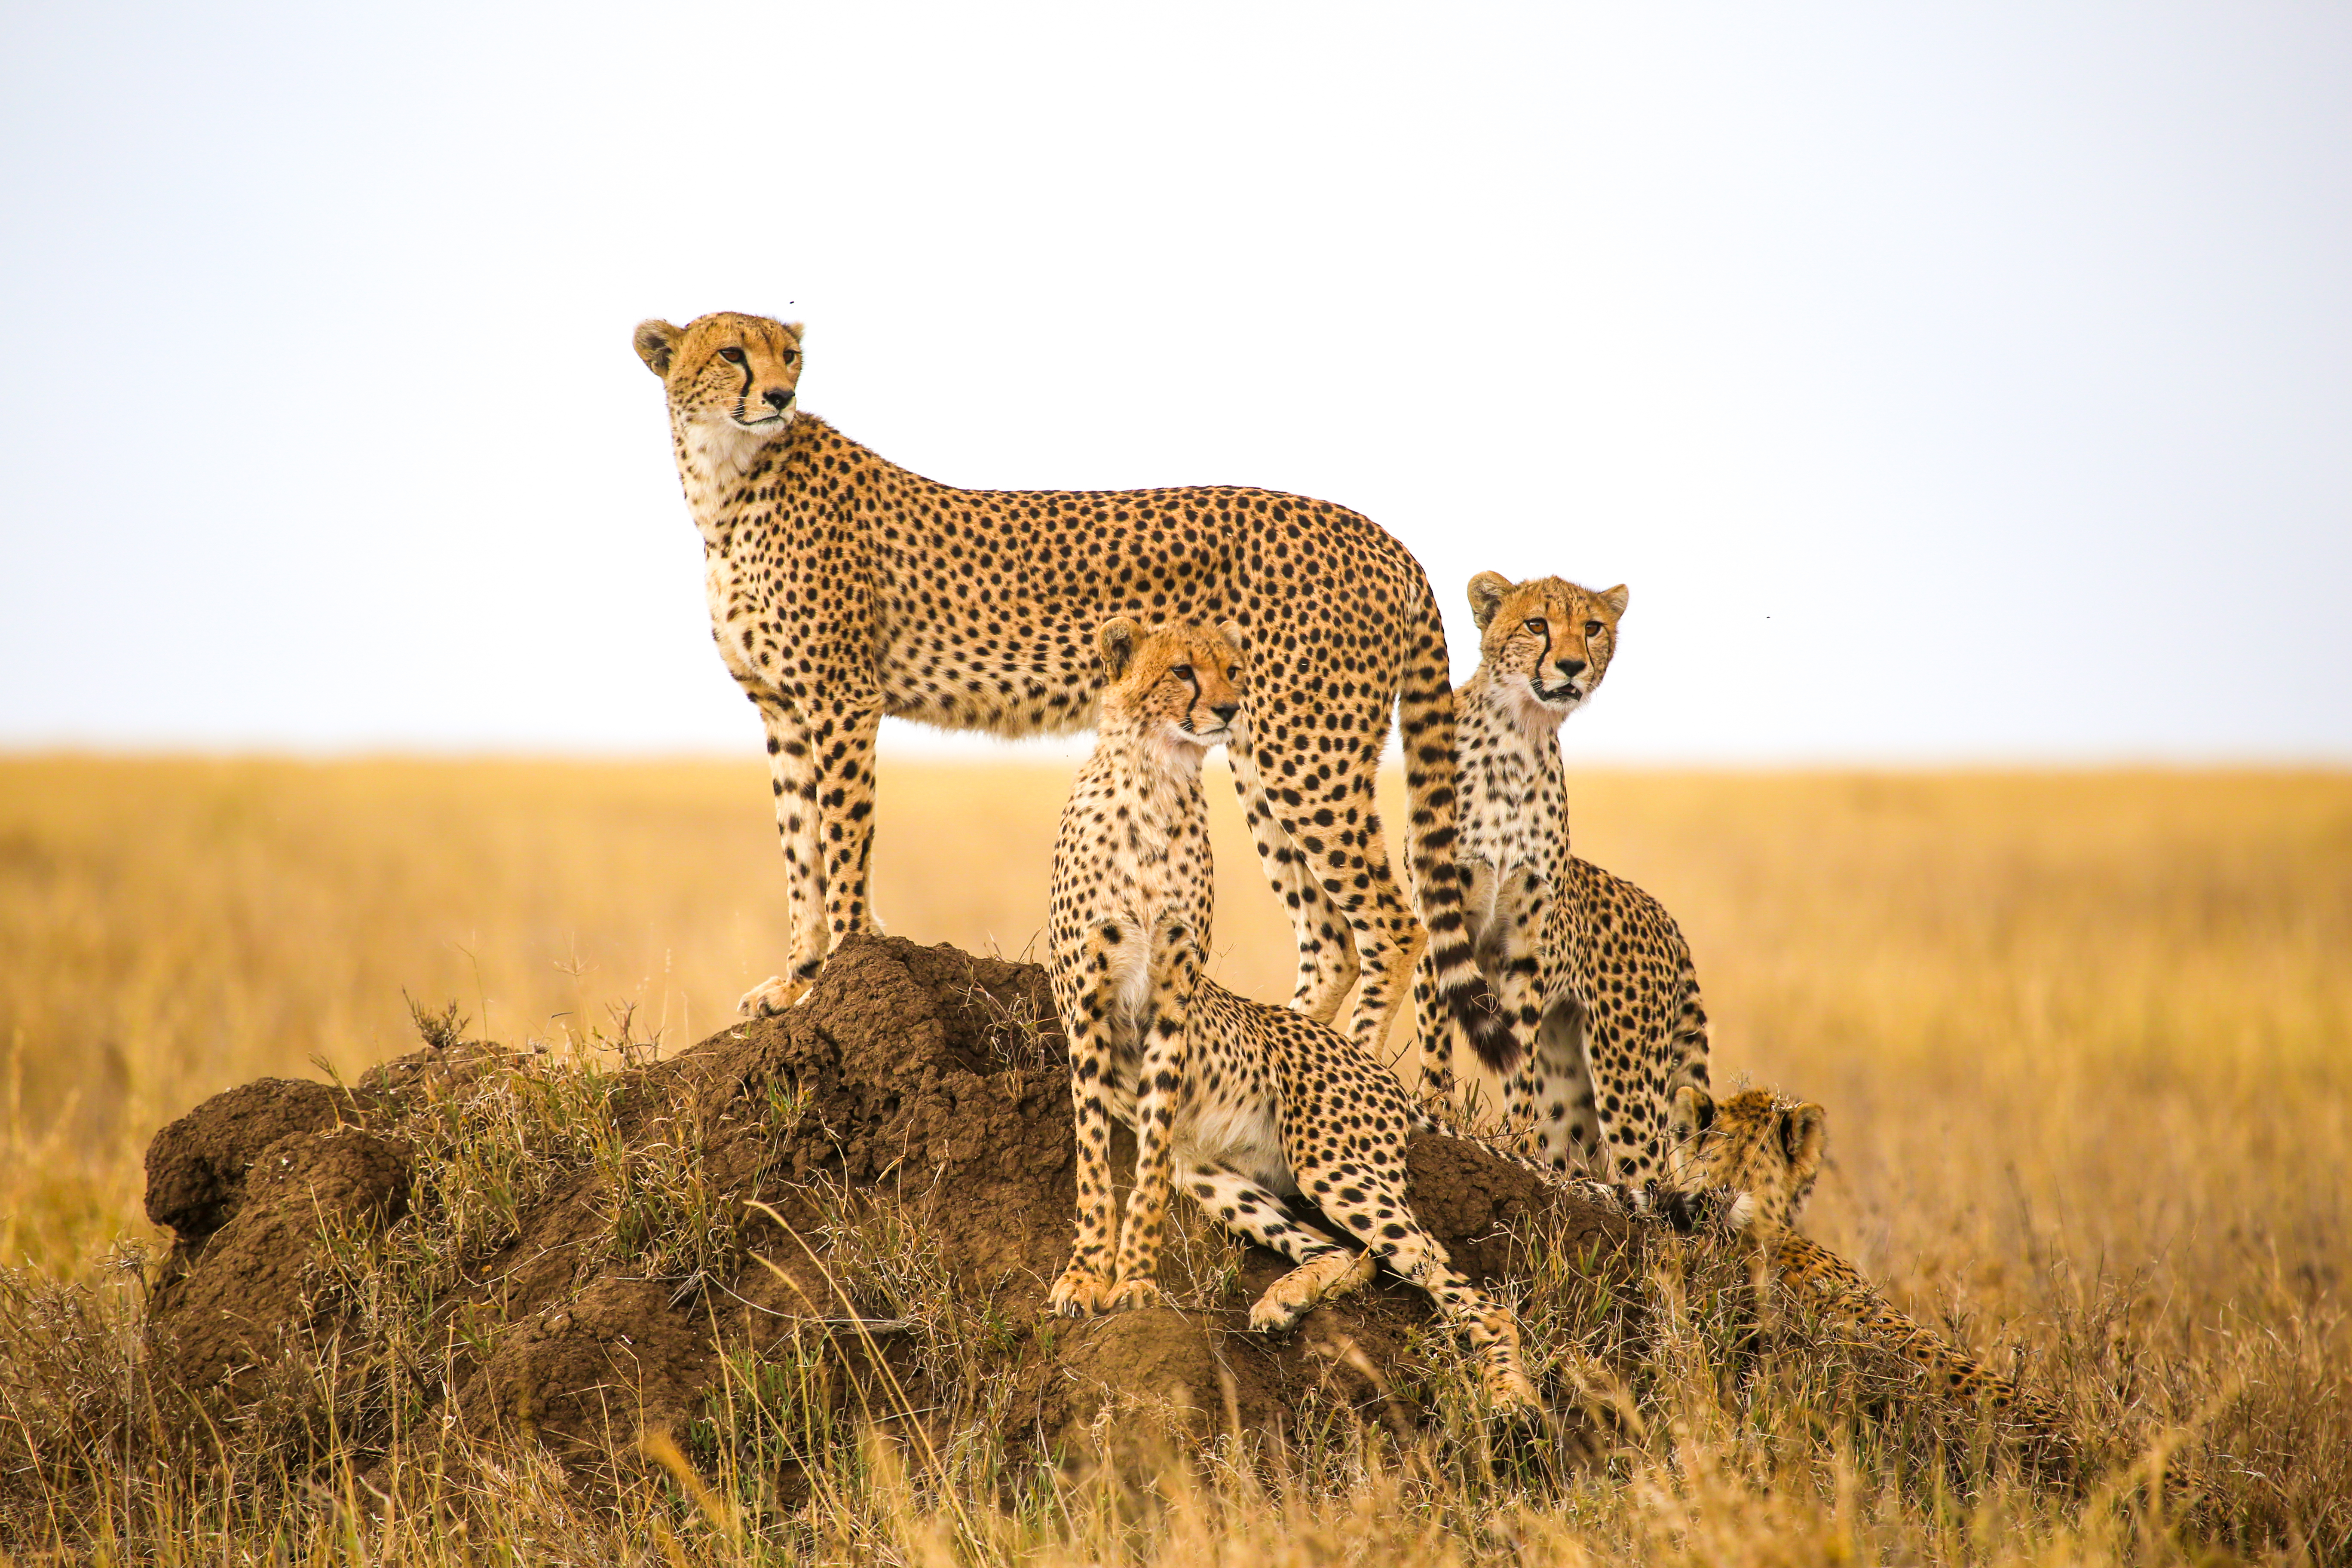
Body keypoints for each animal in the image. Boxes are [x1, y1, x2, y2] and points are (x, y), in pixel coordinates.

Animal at [635, 310, 1496, 1067]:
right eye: (733, 353)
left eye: (790, 355)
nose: (780, 396)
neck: (727, 481)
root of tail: (1383, 536)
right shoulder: (782, 708)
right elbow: (799, 853)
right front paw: (797, 981)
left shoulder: (841, 696)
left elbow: (841, 845)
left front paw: (836, 973)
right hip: (1260, 752)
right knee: (1331, 935)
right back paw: (1289, 1055)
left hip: (1306, 754)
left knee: (1395, 924)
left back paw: (1354, 1068)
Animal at [1411, 573, 1712, 1175]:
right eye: (1536, 624)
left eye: (1592, 627)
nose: (1572, 665)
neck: (1518, 735)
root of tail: (1665, 917)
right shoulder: (1439, 912)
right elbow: (1436, 1034)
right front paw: (1436, 1111)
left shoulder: (1526, 943)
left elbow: (1518, 1050)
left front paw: (1517, 1143)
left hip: (1625, 1072)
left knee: (1647, 1173)